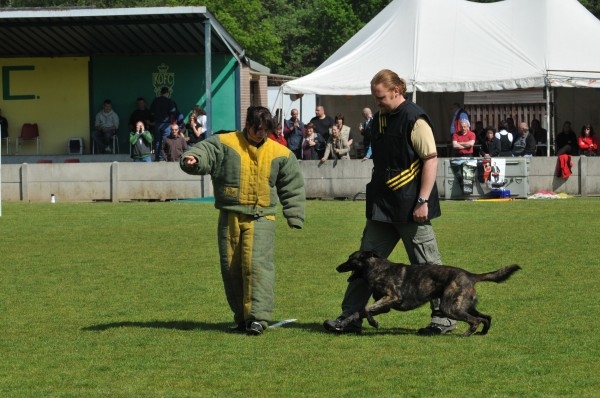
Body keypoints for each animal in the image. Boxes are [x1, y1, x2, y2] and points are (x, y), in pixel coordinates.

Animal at [338, 252, 520, 336]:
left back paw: (466, 335)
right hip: (464, 305)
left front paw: (374, 323)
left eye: (350, 259)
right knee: (486, 317)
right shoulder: (384, 305)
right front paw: (344, 322)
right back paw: (482, 333)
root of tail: (471, 275)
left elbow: (366, 309)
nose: (337, 267)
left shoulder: (392, 297)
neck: (377, 268)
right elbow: (358, 312)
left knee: (475, 320)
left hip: (450, 308)